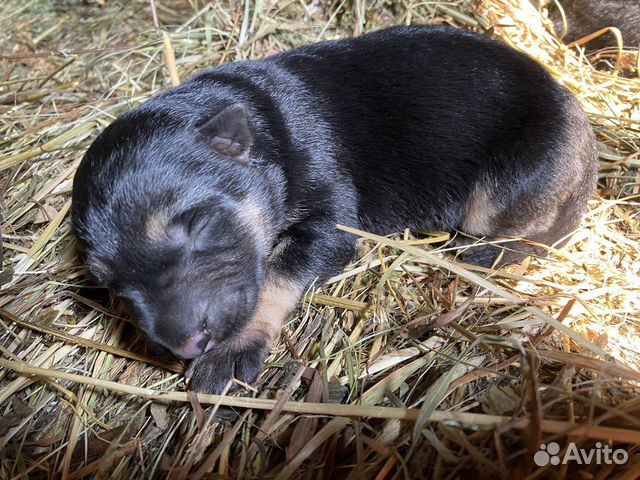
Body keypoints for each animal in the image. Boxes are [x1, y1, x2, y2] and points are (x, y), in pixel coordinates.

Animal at [72, 25, 596, 394]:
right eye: (105, 282)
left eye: (199, 226)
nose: (186, 344)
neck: (266, 125)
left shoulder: (334, 216)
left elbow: (278, 273)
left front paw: (228, 354)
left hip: (513, 180)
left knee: (528, 237)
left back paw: (479, 256)